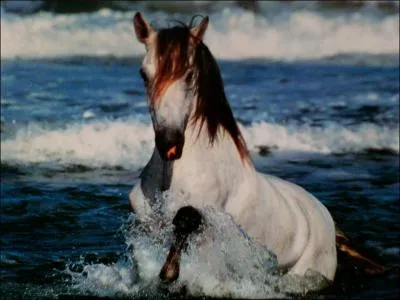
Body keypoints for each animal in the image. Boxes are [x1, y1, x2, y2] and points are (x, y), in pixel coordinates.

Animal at [130, 11, 338, 284]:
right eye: (143, 74)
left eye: (189, 74)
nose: (169, 143)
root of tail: (325, 215)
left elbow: (187, 218)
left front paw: (170, 271)